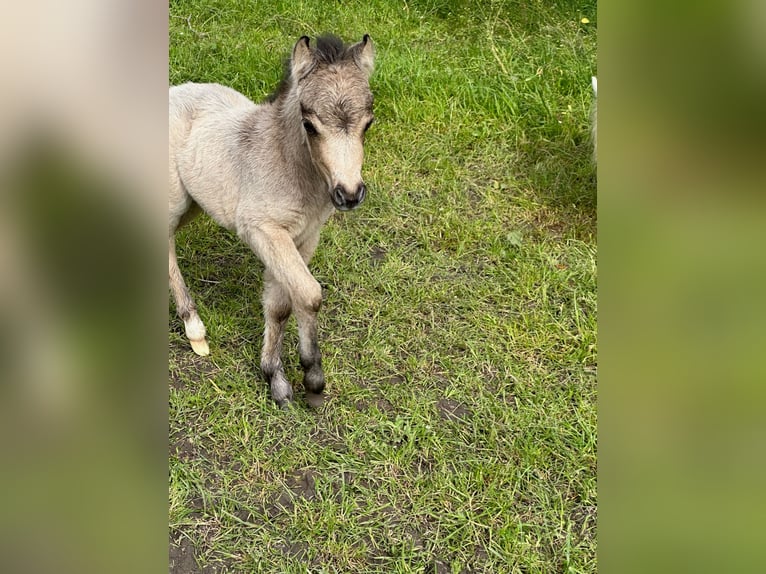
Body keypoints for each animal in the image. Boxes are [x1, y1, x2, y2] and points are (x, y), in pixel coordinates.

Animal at [168, 33, 376, 408]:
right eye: (309, 124)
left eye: (368, 123)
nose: (350, 194)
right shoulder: (262, 231)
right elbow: (309, 294)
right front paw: (312, 379)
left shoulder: (304, 236)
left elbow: (281, 304)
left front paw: (275, 378)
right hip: (172, 196)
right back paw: (195, 329)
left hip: (193, 203)